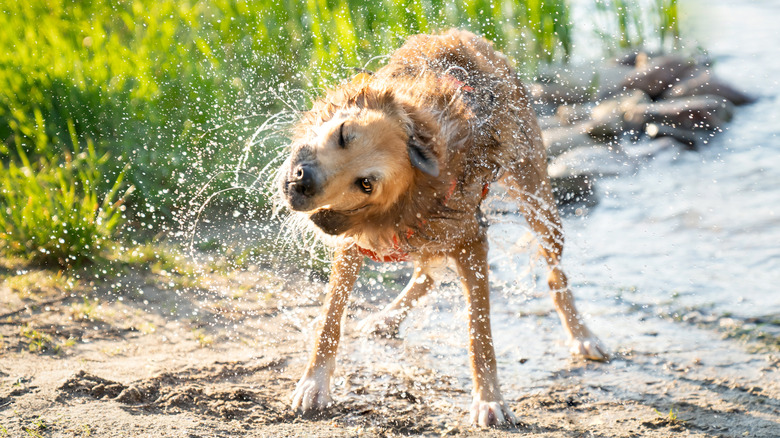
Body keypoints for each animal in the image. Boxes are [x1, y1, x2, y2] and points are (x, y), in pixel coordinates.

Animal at [278, 30, 608, 428]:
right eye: (343, 134)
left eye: (367, 184)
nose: (303, 179)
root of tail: (470, 37)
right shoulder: (353, 237)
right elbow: (330, 319)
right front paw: (314, 383)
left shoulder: (471, 241)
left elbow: (480, 335)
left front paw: (489, 399)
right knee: (426, 272)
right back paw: (388, 318)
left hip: (539, 204)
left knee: (555, 275)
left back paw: (583, 335)